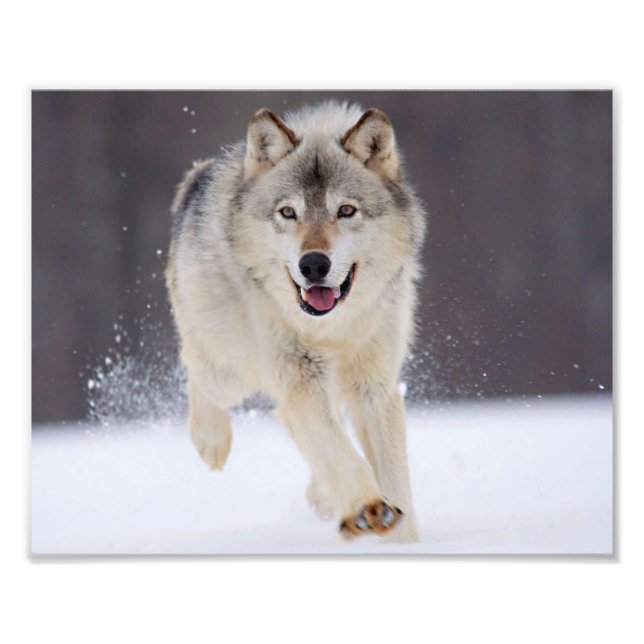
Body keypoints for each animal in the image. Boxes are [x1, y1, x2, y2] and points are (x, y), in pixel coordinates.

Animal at [166, 101, 426, 542]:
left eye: (346, 211)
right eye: (288, 212)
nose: (314, 264)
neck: (332, 330)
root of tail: (198, 176)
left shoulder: (375, 388)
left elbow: (392, 478)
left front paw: (401, 538)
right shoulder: (300, 380)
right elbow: (341, 453)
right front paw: (367, 507)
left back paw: (324, 498)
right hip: (230, 369)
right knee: (197, 370)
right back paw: (211, 441)